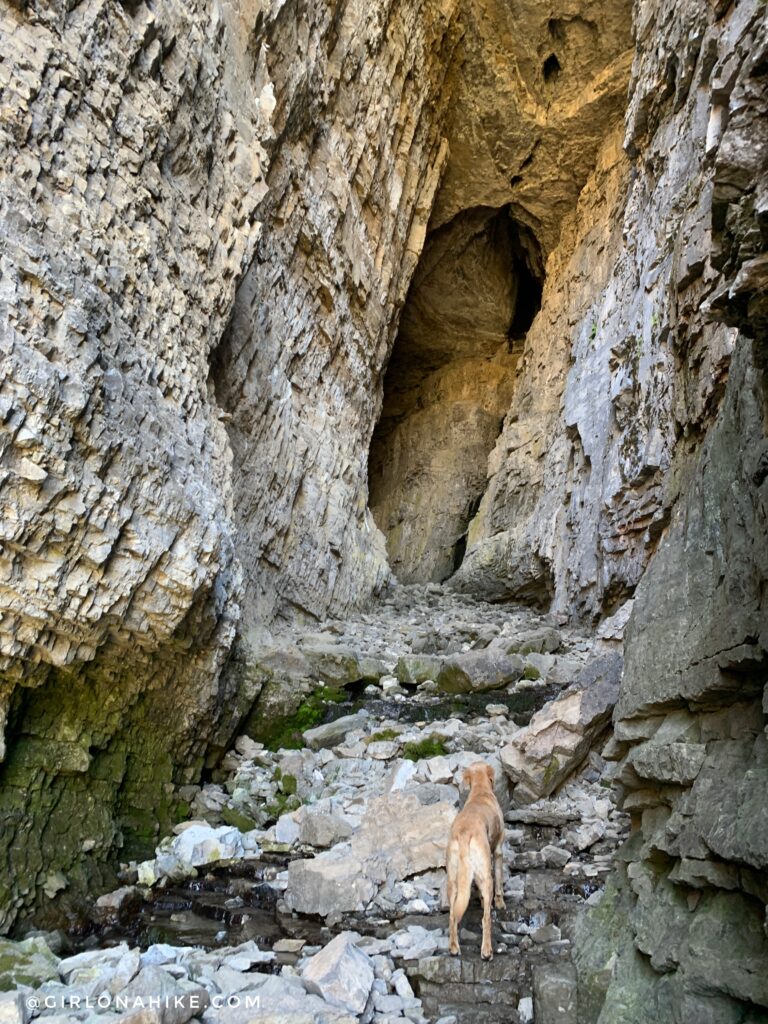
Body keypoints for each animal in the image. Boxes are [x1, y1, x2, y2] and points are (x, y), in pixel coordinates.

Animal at [444, 761, 505, 958]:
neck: (480, 790)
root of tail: (465, 833)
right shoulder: (498, 851)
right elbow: (499, 883)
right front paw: (500, 903)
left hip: (453, 880)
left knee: (452, 915)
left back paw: (454, 947)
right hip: (486, 876)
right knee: (486, 919)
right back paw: (487, 951)